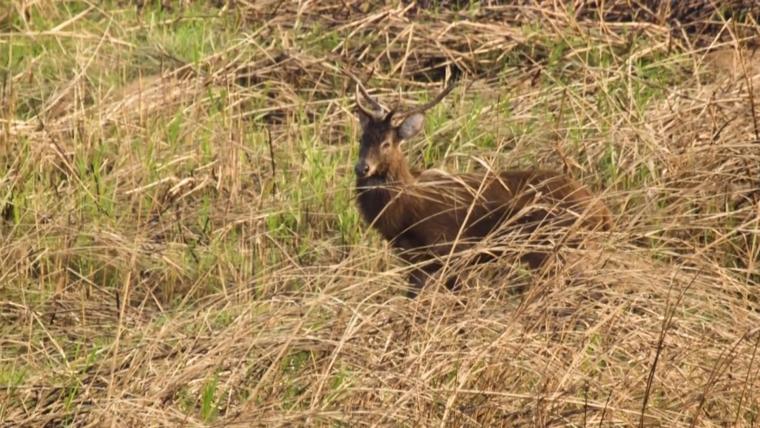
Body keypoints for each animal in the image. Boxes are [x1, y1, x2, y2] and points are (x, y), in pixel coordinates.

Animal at [352, 77, 612, 298]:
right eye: (362, 139)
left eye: (386, 143)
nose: (362, 167)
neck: (407, 211)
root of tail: (601, 211)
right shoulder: (416, 260)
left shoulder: (451, 246)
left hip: (552, 243)